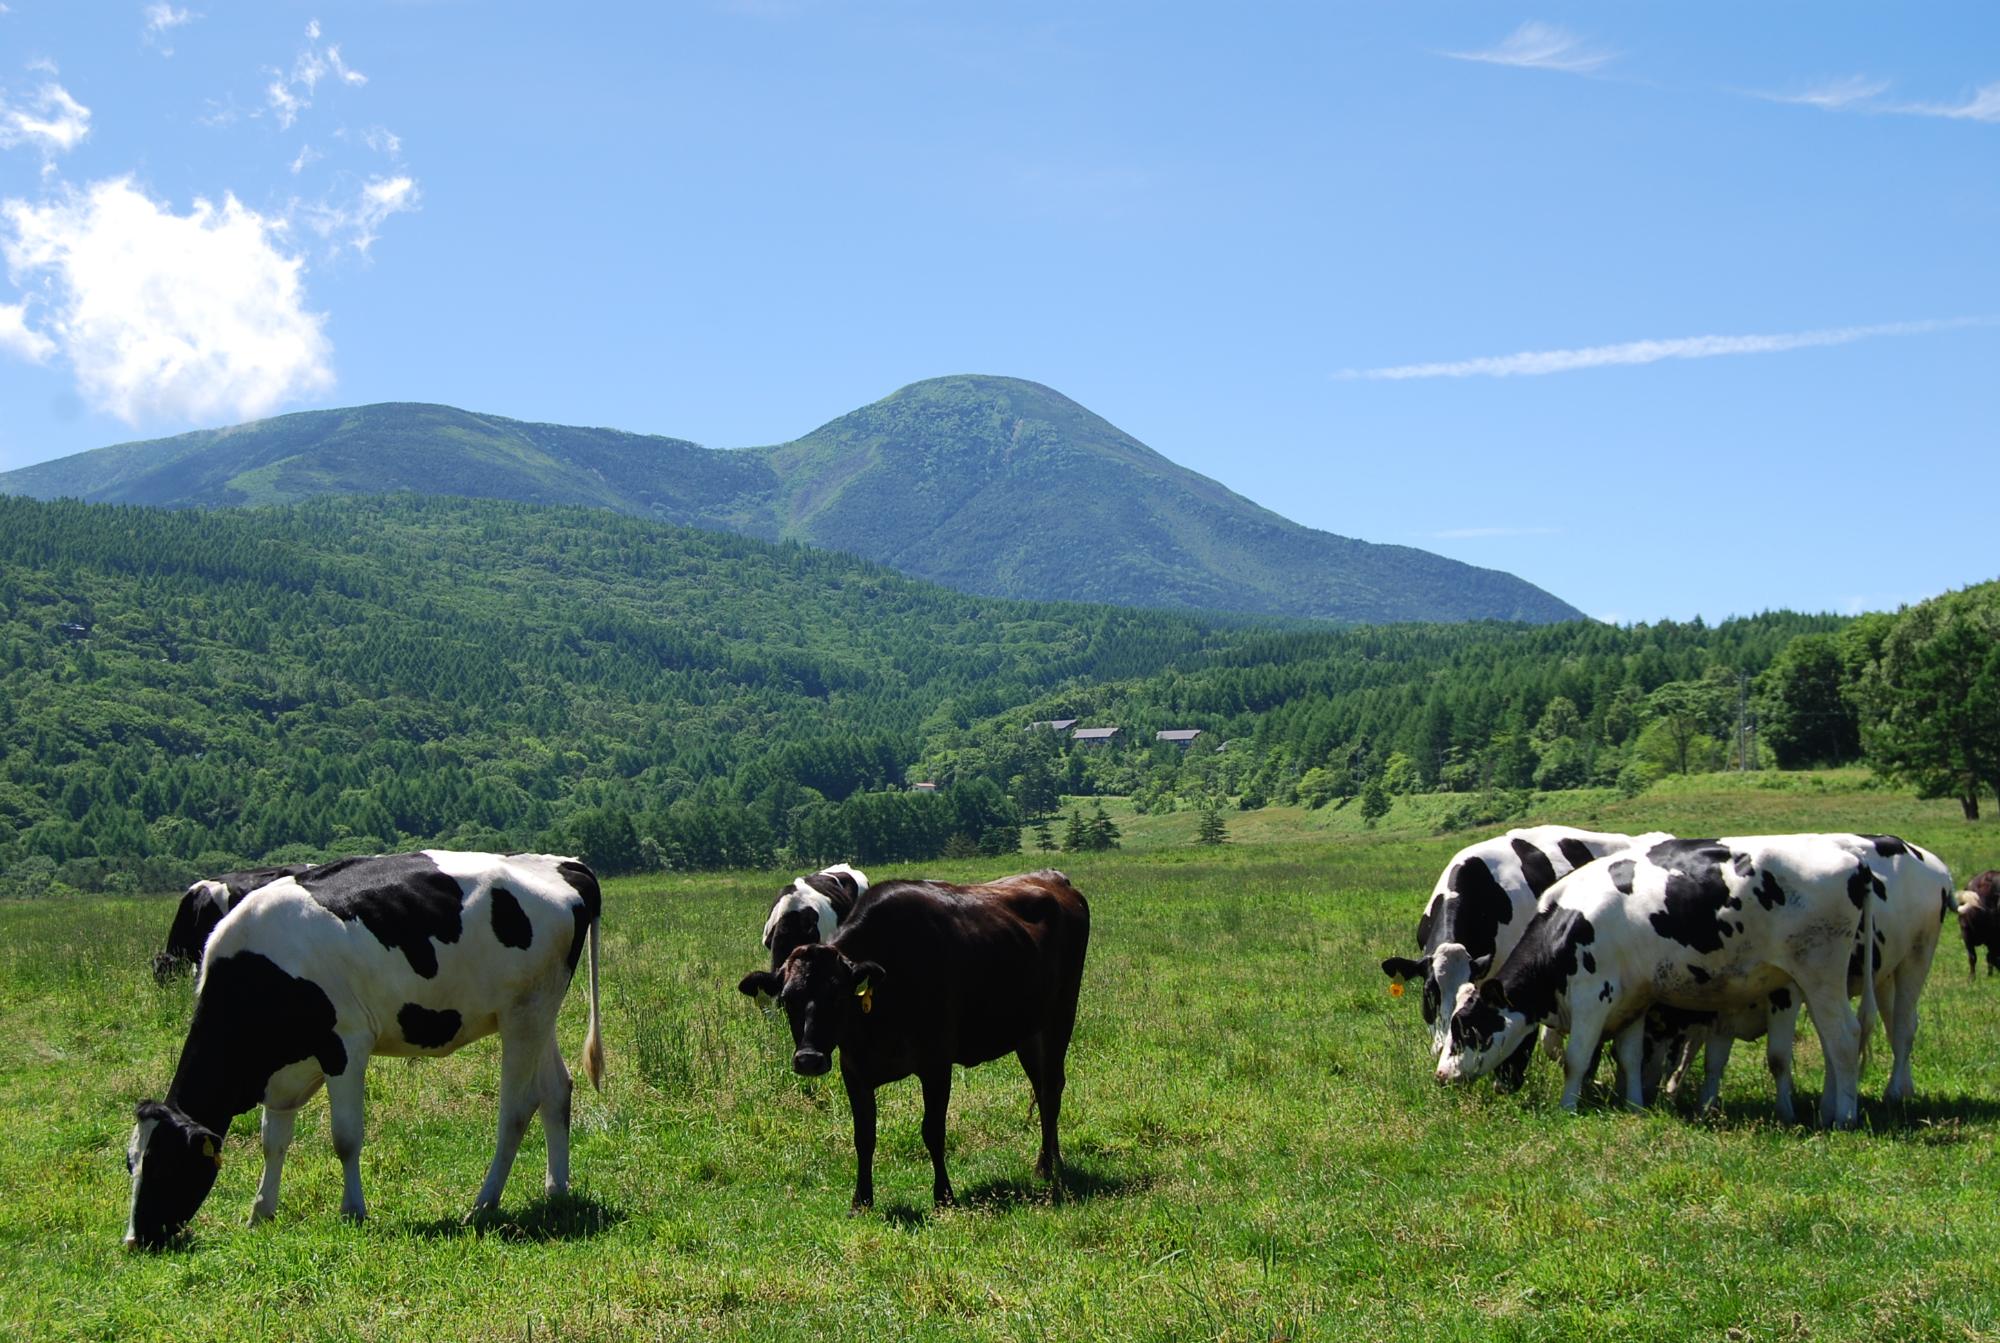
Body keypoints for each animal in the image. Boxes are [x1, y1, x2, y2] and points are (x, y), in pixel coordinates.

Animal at [736, 867, 1088, 1215]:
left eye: (838, 996)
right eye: (788, 999)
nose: (809, 1059)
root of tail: (1054, 877)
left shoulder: (936, 1064)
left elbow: (933, 1131)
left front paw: (944, 1196)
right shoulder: (854, 1070)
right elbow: (864, 1136)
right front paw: (861, 1200)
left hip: (1060, 1016)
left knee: (1051, 1087)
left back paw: (1047, 1165)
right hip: (1028, 1031)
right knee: (1041, 1088)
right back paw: (1050, 1160)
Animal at [1440, 835, 1952, 1127]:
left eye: (1467, 1025)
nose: (1442, 1074)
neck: (1570, 924)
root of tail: (1855, 863)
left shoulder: (1593, 997)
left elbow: (1576, 1058)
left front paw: (1567, 1108)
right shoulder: (1633, 1001)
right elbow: (1629, 1058)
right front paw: (1634, 1105)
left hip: (1841, 969)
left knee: (1854, 1036)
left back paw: (1845, 1116)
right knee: (1843, 1040)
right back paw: (1833, 1107)